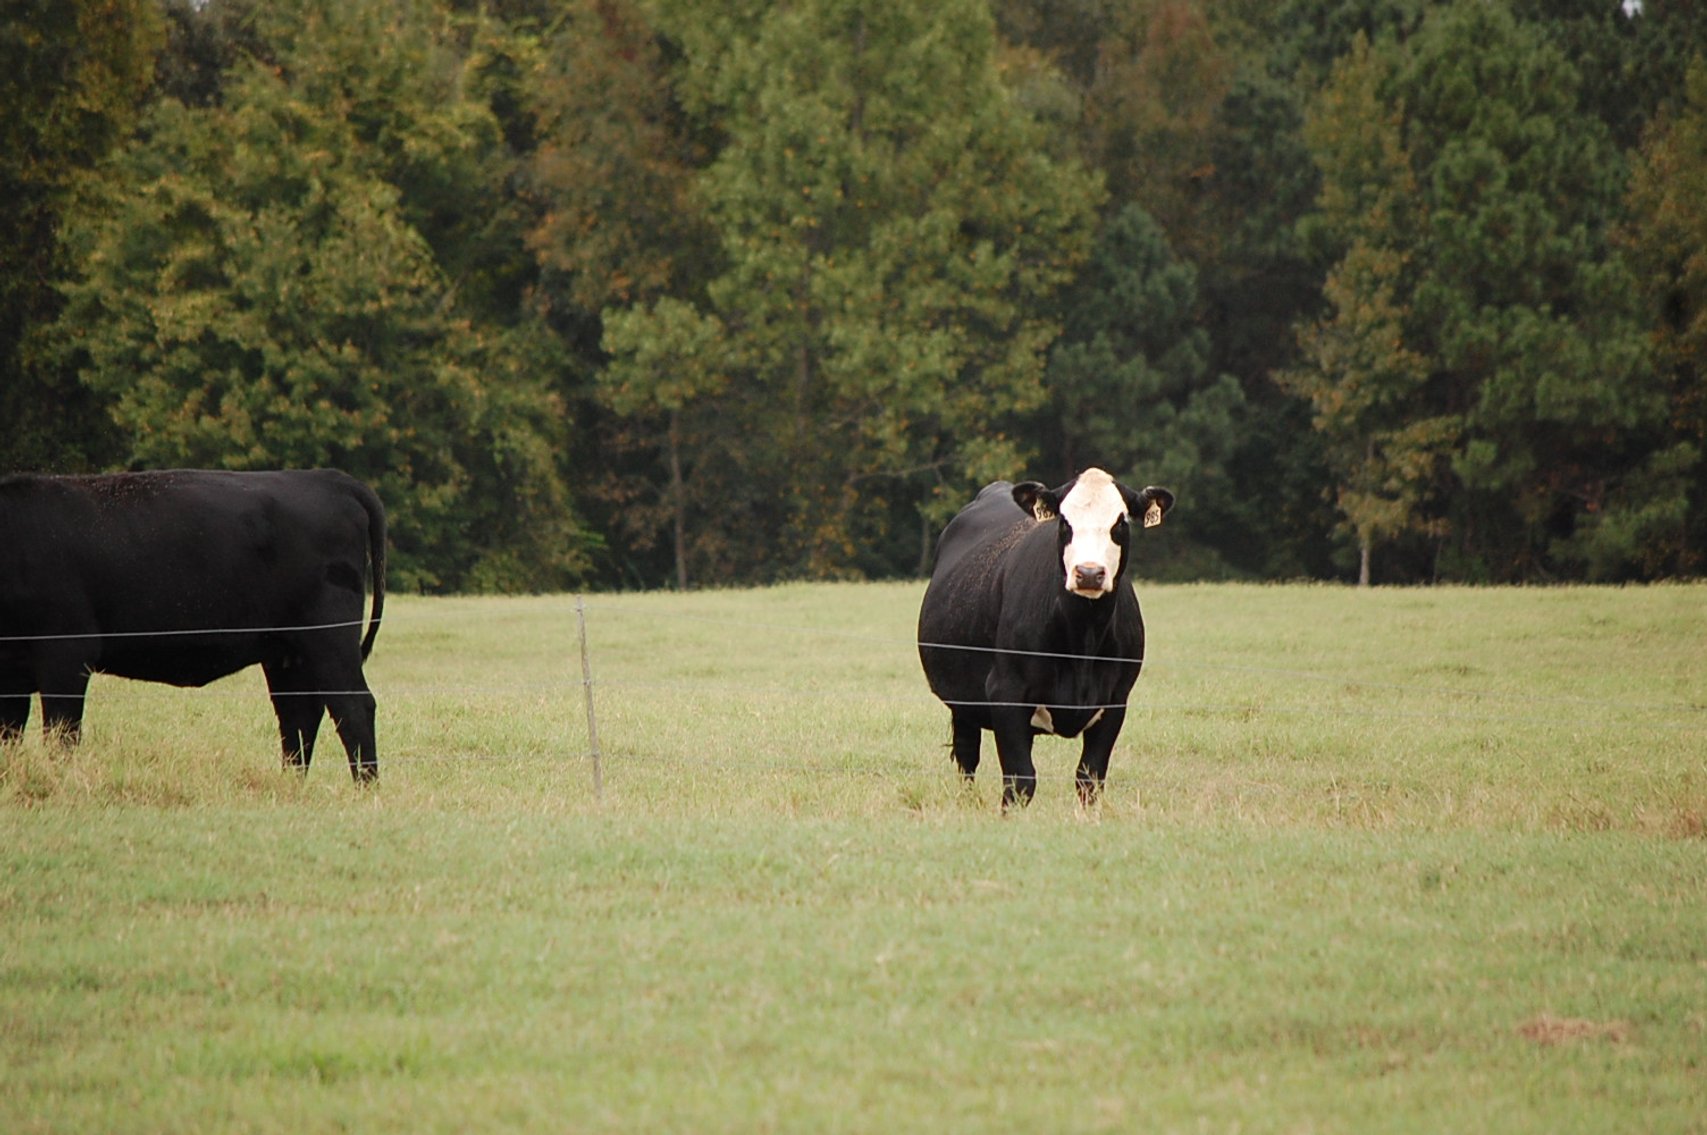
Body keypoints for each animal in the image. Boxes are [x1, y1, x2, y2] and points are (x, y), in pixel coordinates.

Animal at [0, 469, 386, 781]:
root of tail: (326, 477)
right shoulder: (13, 675)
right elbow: (10, 733)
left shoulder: (66, 654)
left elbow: (61, 733)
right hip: (287, 652)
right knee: (298, 713)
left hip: (328, 639)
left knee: (353, 708)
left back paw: (365, 788)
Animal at [917, 468, 1173, 808]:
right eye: (1064, 522)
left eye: (1120, 522)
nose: (1088, 573)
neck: (1082, 641)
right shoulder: (1006, 693)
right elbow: (1020, 780)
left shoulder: (1116, 700)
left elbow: (1090, 778)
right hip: (962, 700)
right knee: (967, 756)